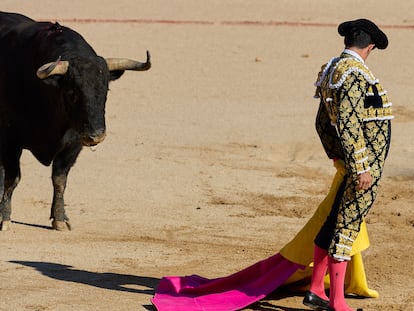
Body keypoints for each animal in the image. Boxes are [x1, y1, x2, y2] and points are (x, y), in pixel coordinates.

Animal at [0, 11, 152, 232]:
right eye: (72, 92)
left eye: (106, 90)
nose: (96, 136)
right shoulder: (10, 140)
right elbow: (13, 178)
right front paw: (4, 218)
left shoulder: (73, 144)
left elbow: (60, 180)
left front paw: (60, 219)